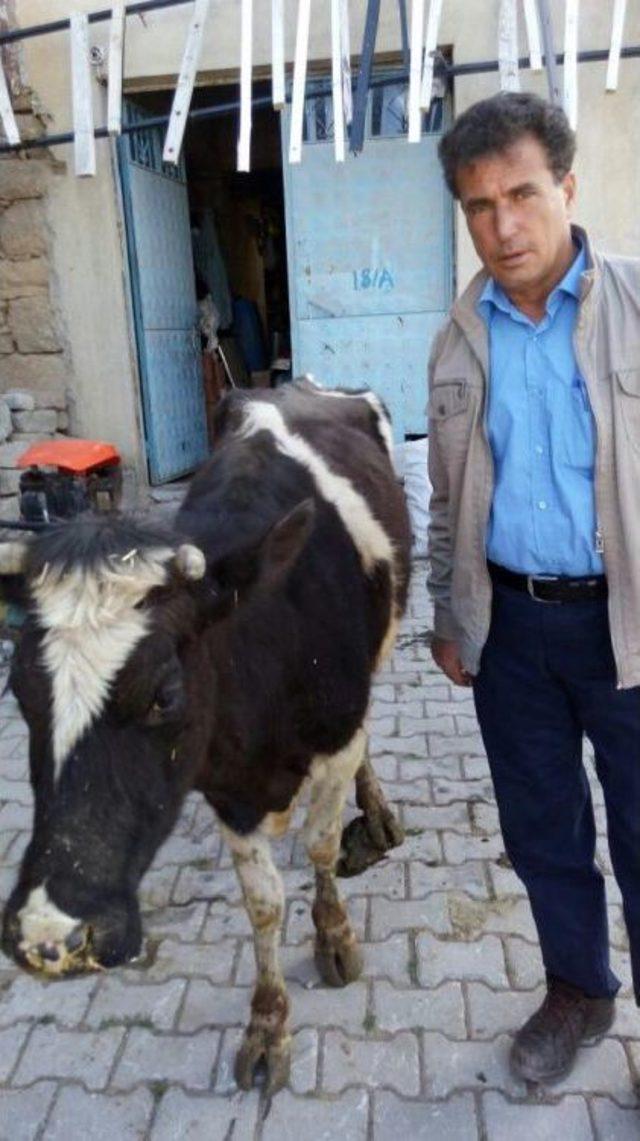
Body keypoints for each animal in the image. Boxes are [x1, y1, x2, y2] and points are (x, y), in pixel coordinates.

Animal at [0, 378, 408, 1090]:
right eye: (19, 691)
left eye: (165, 693)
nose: (50, 935)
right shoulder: (224, 782)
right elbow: (262, 902)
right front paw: (268, 1023)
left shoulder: (333, 737)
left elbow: (323, 844)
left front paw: (333, 937)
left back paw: (376, 812)